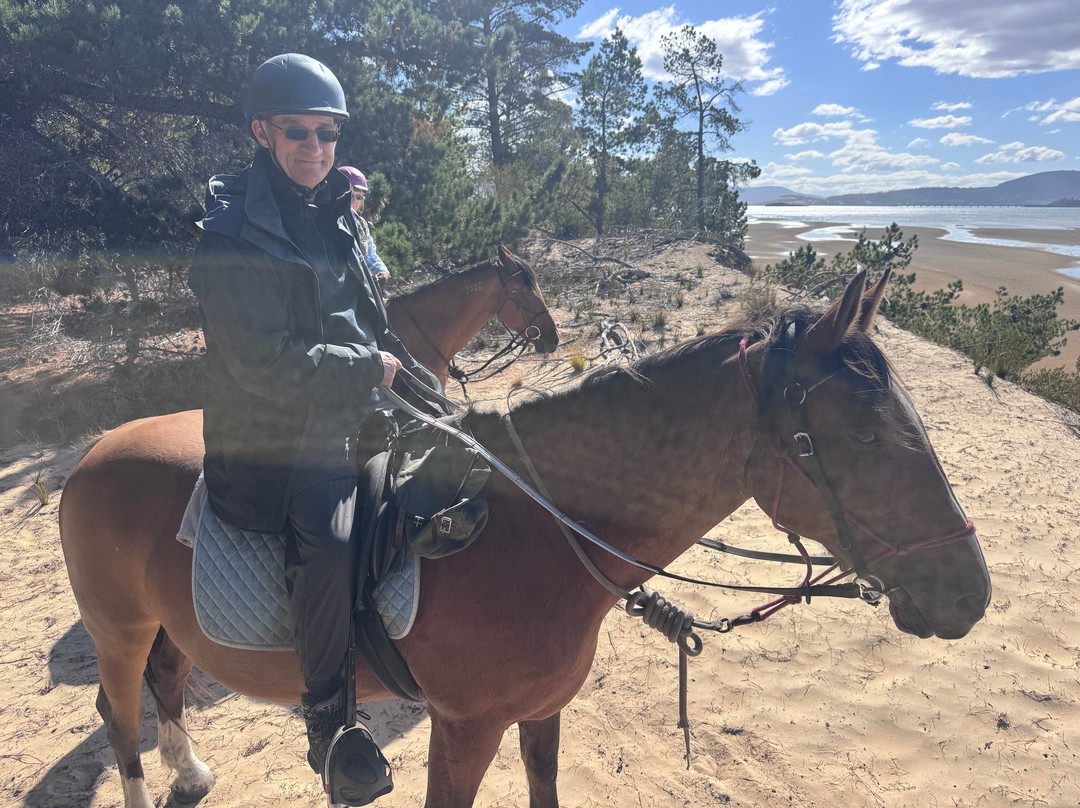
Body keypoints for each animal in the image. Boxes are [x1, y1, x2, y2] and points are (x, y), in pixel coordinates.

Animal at [58, 270, 991, 808]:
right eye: (863, 437)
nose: (971, 593)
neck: (539, 532)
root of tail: (90, 454)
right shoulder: (465, 729)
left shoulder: (542, 715)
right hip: (116, 629)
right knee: (119, 716)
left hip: (164, 623)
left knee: (168, 682)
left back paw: (188, 770)